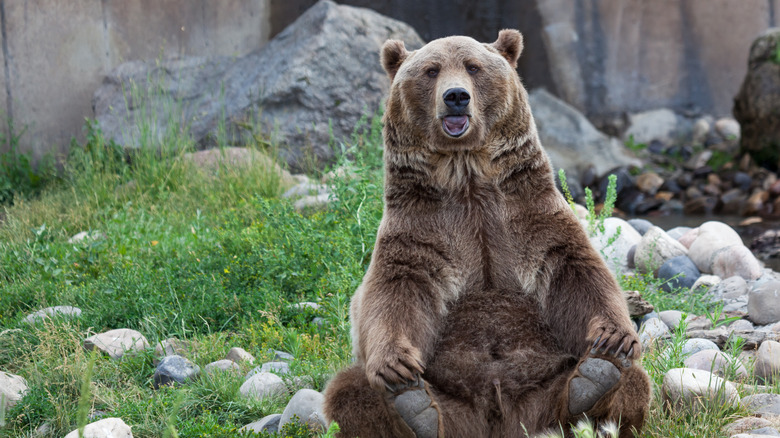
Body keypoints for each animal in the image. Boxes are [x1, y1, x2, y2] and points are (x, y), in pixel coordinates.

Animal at [322, 29, 652, 436]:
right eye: (431, 70)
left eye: (473, 66)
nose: (456, 96)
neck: (467, 176)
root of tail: (500, 420)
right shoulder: (421, 229)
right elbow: (395, 291)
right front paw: (395, 366)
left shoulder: (529, 216)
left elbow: (577, 272)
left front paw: (613, 337)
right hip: (455, 401)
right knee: (349, 389)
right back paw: (414, 408)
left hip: (540, 391)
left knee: (633, 381)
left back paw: (593, 378)